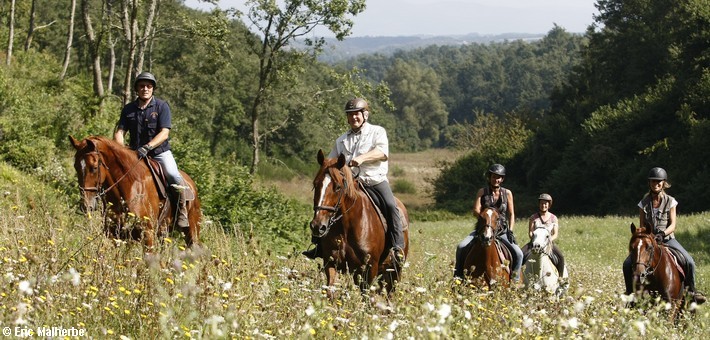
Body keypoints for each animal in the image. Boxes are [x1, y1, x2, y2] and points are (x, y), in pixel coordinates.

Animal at [68, 135, 202, 250]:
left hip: (192, 231)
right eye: (75, 166)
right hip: (163, 232)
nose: (86, 205)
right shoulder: (114, 235)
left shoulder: (147, 234)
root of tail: (191, 183)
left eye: (94, 167)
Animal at [310, 150, 412, 296]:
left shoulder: (369, 269)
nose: (318, 226)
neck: (346, 228)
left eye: (338, 187)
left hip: (395, 271)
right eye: (315, 184)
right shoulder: (331, 263)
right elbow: (330, 290)